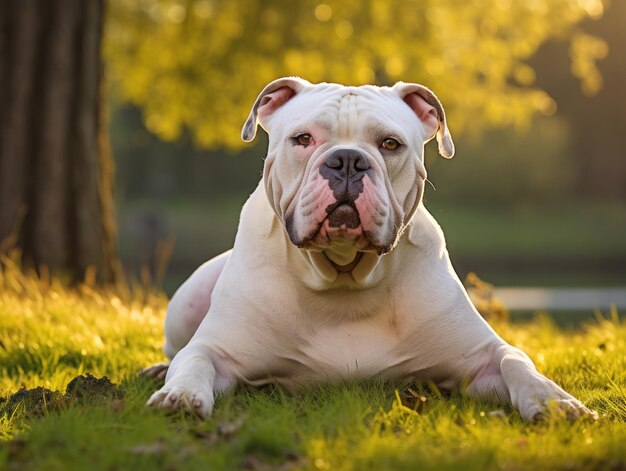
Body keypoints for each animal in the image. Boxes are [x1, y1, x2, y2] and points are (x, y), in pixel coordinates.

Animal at [144, 78, 592, 424]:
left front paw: (555, 400)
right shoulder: (218, 351)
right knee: (177, 348)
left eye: (390, 143)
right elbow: (196, 359)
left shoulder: (481, 357)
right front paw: (181, 394)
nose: (346, 160)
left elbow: (515, 361)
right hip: (188, 298)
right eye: (302, 139)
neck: (343, 274)